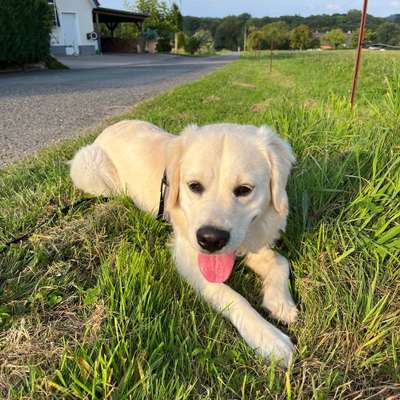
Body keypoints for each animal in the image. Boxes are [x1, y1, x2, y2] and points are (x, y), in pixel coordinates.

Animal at [70, 120, 298, 368]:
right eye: (194, 186)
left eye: (244, 190)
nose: (211, 240)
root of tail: (110, 127)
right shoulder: (187, 257)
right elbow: (232, 296)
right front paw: (268, 337)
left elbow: (280, 261)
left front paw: (281, 303)